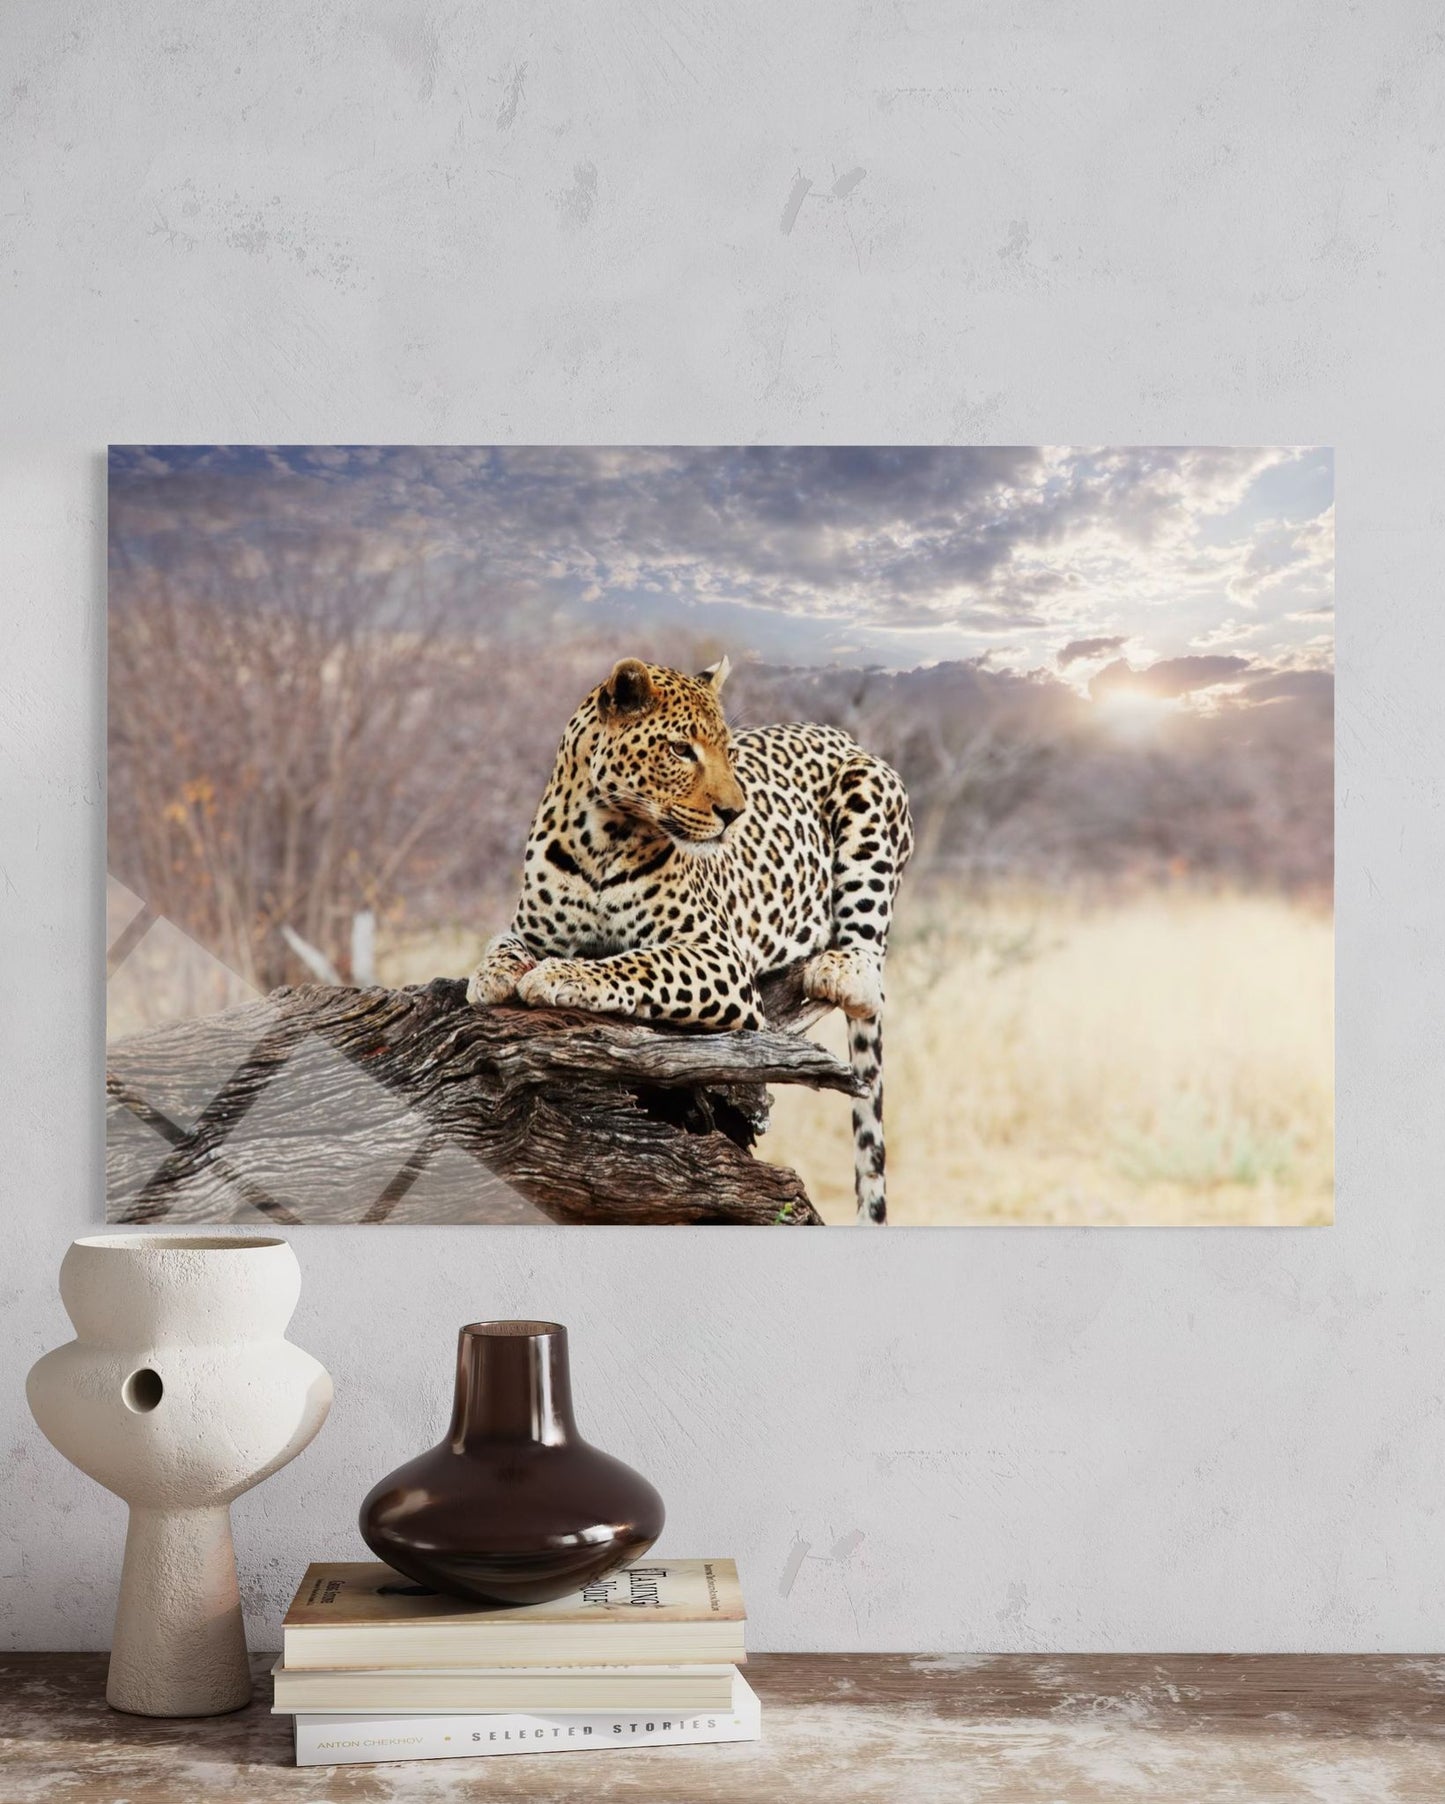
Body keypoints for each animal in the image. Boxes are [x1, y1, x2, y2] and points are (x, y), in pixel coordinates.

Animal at [466, 656, 914, 1223]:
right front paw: (491, 975)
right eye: (681, 750)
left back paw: (840, 968)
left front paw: (561, 976)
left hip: (873, 790)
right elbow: (503, 945)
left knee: (868, 966)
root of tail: (840, 733)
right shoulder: (529, 927)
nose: (735, 813)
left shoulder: (717, 955)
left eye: (728, 751)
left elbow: (637, 962)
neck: (600, 837)